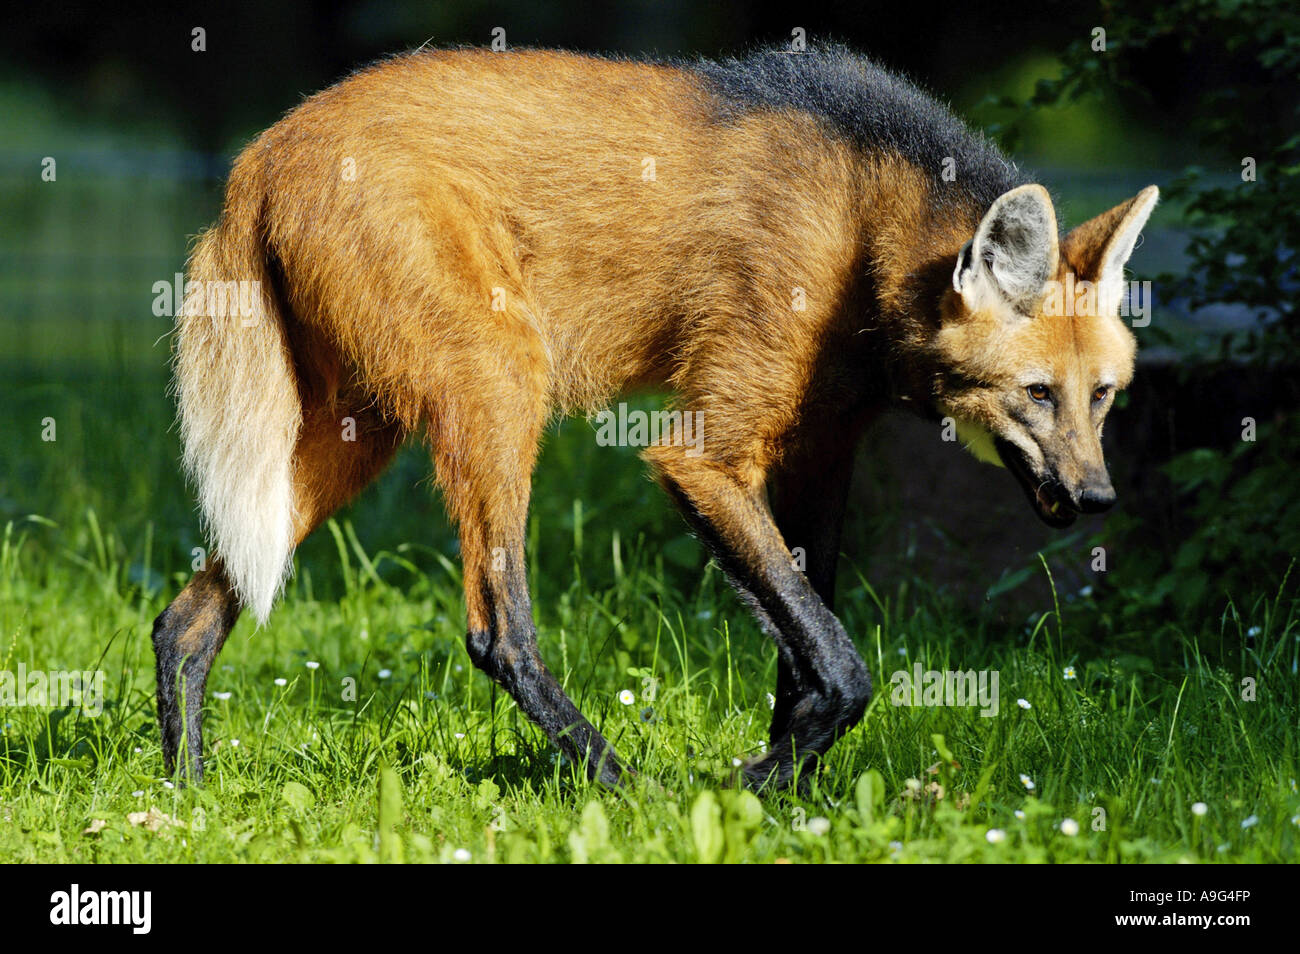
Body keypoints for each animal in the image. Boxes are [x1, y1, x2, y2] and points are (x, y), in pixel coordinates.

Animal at [152, 44, 1159, 790]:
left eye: (1103, 395)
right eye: (1038, 393)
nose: (1098, 498)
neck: (867, 239)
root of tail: (261, 153)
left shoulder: (820, 449)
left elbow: (805, 639)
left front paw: (792, 791)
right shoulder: (704, 457)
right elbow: (841, 664)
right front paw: (751, 785)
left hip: (357, 429)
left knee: (190, 615)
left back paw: (188, 793)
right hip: (499, 377)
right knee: (497, 631)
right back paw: (621, 785)